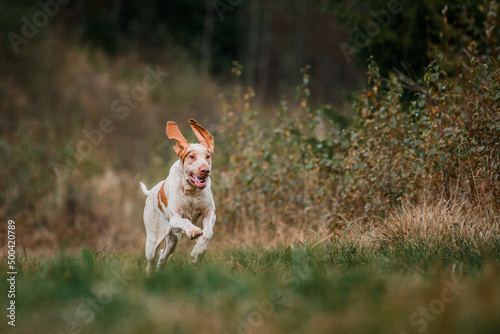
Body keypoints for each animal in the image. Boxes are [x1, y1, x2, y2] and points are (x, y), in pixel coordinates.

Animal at [142, 118, 218, 272]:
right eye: (191, 156)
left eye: (207, 156)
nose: (205, 170)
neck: (191, 190)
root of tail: (150, 192)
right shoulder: (176, 218)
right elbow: (186, 221)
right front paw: (193, 230)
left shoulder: (209, 212)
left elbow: (208, 234)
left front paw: (197, 254)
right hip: (153, 240)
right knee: (151, 260)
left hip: (173, 239)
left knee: (163, 255)